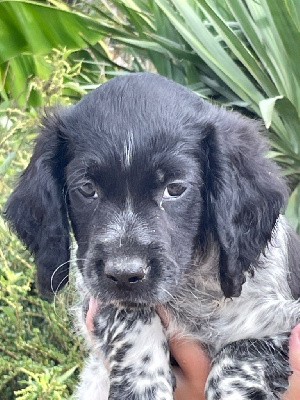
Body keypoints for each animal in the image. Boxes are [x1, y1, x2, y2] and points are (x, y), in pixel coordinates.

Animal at [4, 73, 300, 398]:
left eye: (175, 188)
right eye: (86, 188)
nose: (123, 274)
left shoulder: (279, 318)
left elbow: (241, 354)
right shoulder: (95, 296)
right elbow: (128, 316)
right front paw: (142, 384)